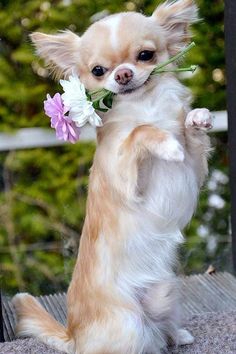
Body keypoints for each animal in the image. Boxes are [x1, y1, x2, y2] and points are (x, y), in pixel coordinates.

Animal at [12, 1, 212, 352]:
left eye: (145, 55)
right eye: (98, 71)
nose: (122, 74)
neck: (146, 106)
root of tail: (74, 335)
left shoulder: (193, 170)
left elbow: (189, 137)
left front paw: (196, 118)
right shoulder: (129, 180)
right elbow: (140, 132)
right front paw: (165, 143)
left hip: (167, 293)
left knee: (162, 326)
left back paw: (177, 334)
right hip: (128, 322)